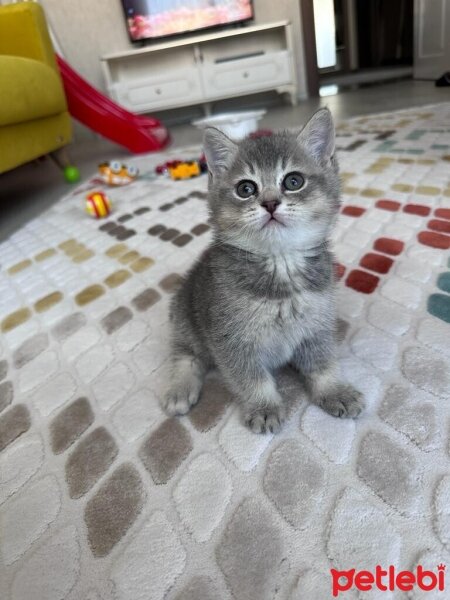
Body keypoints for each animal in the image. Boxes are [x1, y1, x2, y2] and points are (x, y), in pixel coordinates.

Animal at [160, 108, 364, 434]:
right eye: (246, 189)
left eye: (293, 181)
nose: (269, 203)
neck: (280, 266)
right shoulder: (231, 341)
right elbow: (251, 378)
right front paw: (264, 407)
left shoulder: (317, 326)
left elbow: (323, 364)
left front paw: (335, 391)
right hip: (184, 316)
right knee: (186, 355)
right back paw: (180, 388)